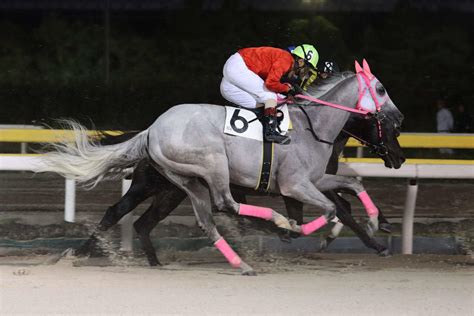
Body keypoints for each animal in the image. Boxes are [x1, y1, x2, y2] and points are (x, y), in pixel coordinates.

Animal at [39, 61, 404, 274]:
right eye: (381, 89)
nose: (399, 118)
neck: (311, 126)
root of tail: (151, 129)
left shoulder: (315, 179)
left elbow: (353, 185)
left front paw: (377, 223)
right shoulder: (294, 185)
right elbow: (332, 208)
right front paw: (298, 230)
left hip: (179, 184)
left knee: (184, 219)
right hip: (207, 165)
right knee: (221, 204)